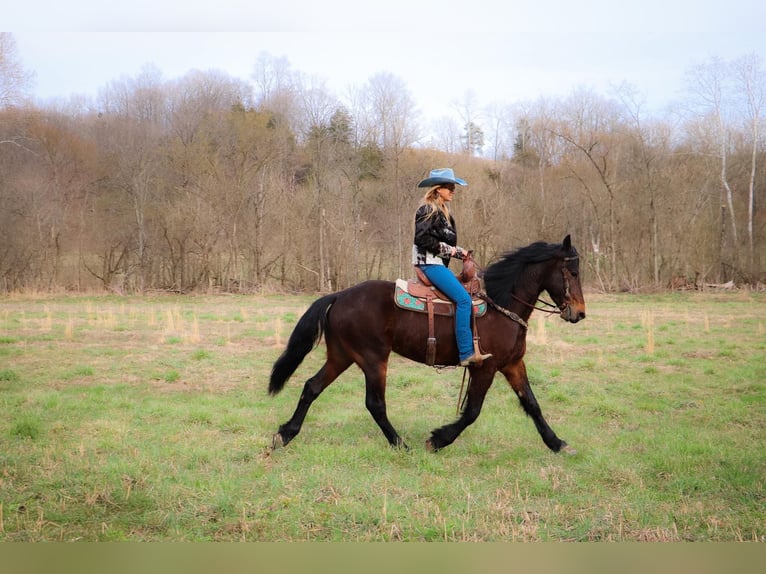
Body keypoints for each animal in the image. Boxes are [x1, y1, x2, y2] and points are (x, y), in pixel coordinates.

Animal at [270, 234, 588, 454]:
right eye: (573, 272)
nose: (580, 313)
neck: (503, 306)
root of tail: (339, 296)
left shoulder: (512, 364)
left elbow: (532, 404)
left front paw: (557, 443)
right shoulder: (484, 368)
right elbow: (472, 411)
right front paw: (437, 440)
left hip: (342, 356)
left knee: (312, 387)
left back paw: (286, 433)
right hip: (373, 359)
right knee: (375, 403)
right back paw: (400, 444)